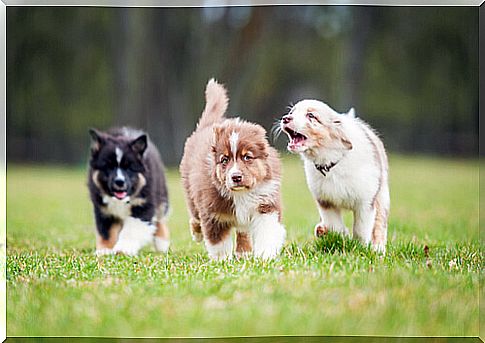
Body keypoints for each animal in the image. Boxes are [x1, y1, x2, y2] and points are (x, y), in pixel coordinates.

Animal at [88, 127, 170, 256]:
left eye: (129, 168)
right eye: (108, 166)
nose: (119, 181)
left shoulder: (143, 205)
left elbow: (132, 229)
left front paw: (123, 249)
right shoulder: (103, 211)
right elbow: (106, 232)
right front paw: (105, 250)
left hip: (161, 197)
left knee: (160, 219)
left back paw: (162, 243)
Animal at [182, 79, 288, 260]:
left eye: (247, 157)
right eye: (224, 160)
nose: (236, 177)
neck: (241, 194)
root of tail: (207, 126)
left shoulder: (266, 205)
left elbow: (267, 233)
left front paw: (264, 257)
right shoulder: (213, 215)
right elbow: (218, 243)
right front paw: (222, 261)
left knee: (242, 230)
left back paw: (243, 252)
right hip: (191, 193)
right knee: (195, 218)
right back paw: (197, 234)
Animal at [280, 99, 390, 253]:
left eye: (311, 115)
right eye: (292, 112)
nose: (285, 118)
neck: (330, 163)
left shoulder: (365, 202)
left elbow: (361, 229)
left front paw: (361, 248)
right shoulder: (325, 201)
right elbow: (334, 225)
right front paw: (340, 235)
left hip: (382, 196)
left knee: (380, 224)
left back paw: (378, 250)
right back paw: (321, 230)